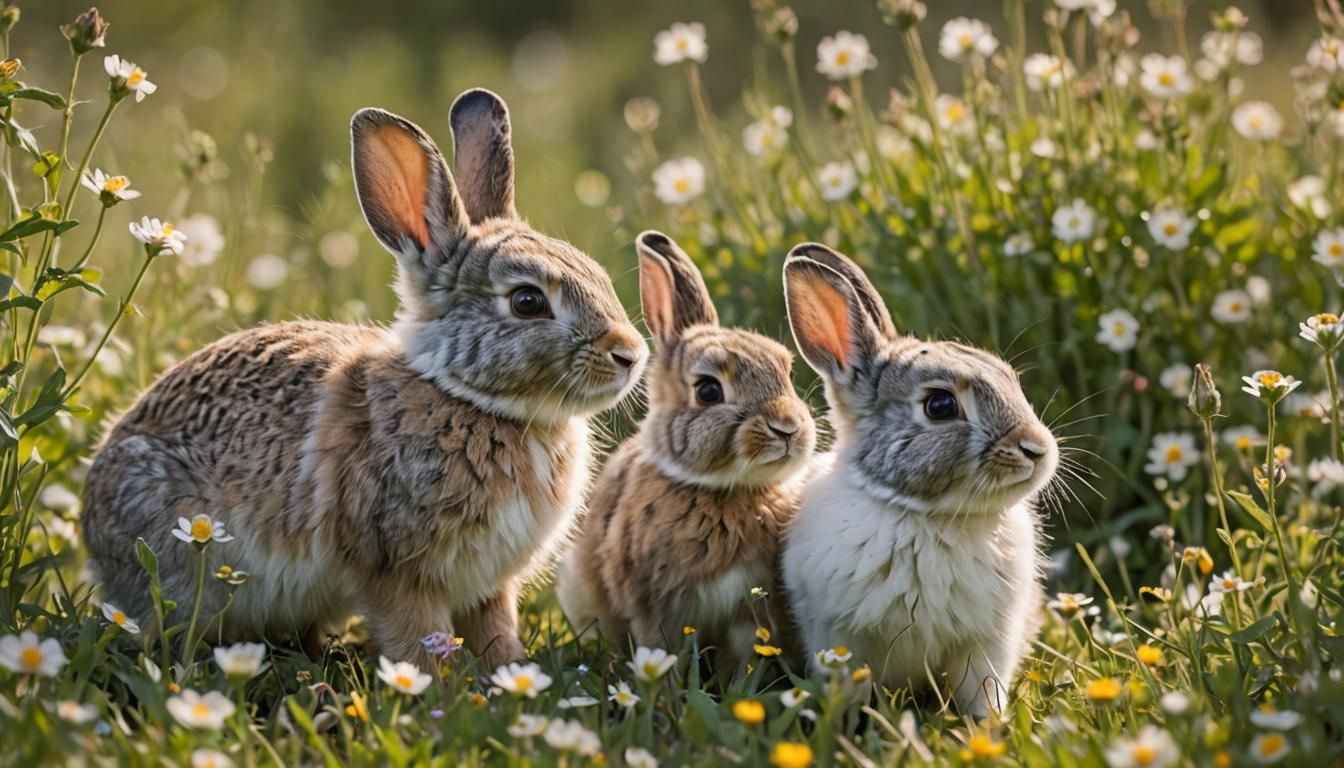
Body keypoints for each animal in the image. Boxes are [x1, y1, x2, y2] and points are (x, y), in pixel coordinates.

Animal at [81, 89, 648, 669]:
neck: (474, 401)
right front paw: (438, 682)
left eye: (600, 276)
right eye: (528, 301)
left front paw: (508, 672)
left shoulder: (488, 584)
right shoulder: (394, 568)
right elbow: (416, 635)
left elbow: (495, 629)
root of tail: (91, 525)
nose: (630, 355)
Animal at [555, 231, 817, 671]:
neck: (723, 492)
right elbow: (664, 650)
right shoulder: (658, 609)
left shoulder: (749, 614)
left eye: (787, 372)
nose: (788, 428)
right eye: (708, 390)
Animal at [779, 243, 1058, 718]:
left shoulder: (986, 645)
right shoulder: (840, 638)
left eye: (1010, 379)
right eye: (940, 406)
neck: (928, 516)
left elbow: (982, 690)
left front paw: (986, 724)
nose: (1038, 450)